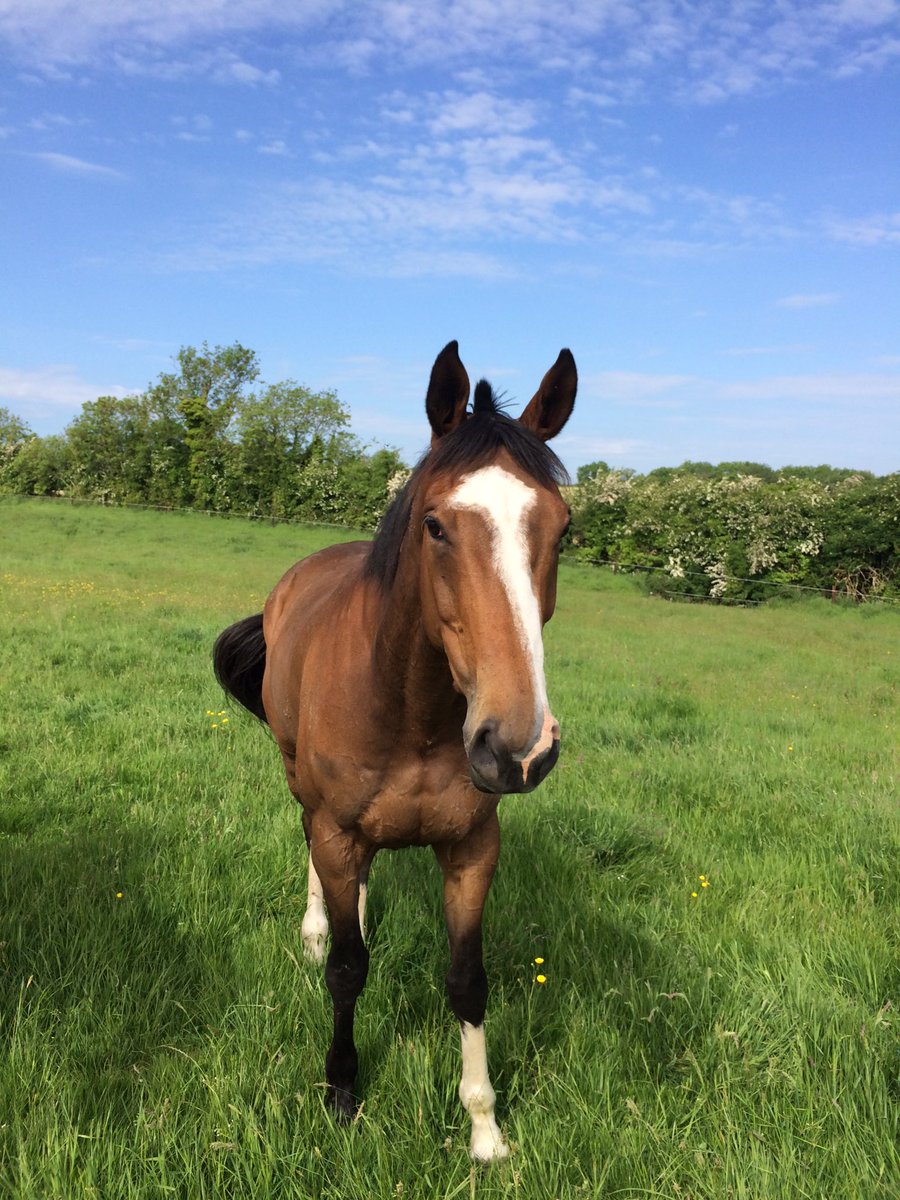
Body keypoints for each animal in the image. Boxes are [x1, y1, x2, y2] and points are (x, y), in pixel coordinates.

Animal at [213, 340, 573, 1161]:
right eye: (436, 525)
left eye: (563, 529)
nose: (517, 747)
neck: (411, 716)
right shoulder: (337, 832)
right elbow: (349, 971)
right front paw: (342, 1093)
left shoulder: (474, 847)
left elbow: (469, 981)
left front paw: (484, 1130)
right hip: (301, 788)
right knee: (313, 855)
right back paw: (318, 927)